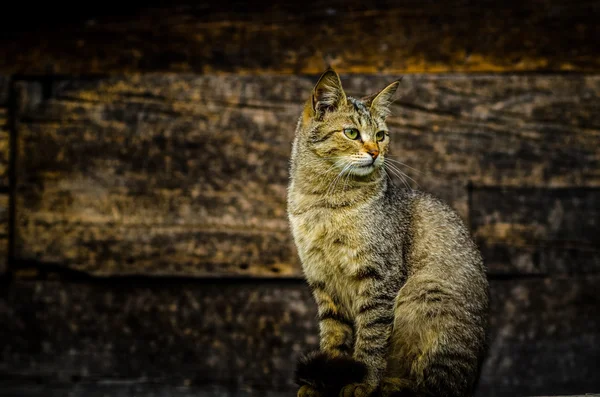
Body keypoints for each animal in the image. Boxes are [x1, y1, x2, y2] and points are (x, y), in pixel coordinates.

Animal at [288, 69, 490, 396]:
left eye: (381, 135)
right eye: (352, 133)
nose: (375, 152)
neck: (323, 203)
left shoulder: (379, 275)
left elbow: (371, 338)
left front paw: (363, 382)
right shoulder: (322, 282)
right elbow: (333, 339)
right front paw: (323, 383)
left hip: (425, 296)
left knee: (434, 384)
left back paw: (391, 385)